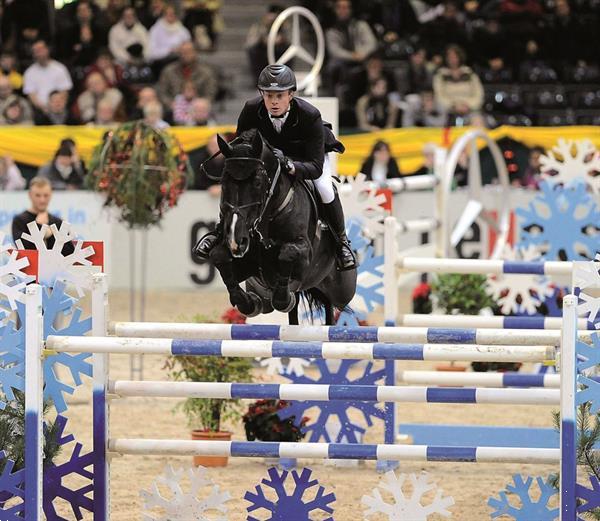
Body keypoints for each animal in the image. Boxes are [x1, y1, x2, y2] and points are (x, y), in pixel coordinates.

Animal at [209, 129, 356, 324]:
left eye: (257, 182)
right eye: (224, 181)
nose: (236, 240)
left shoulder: (304, 256)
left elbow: (288, 253)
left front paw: (284, 298)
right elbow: (218, 256)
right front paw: (249, 302)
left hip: (342, 290)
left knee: (332, 305)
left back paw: (345, 253)